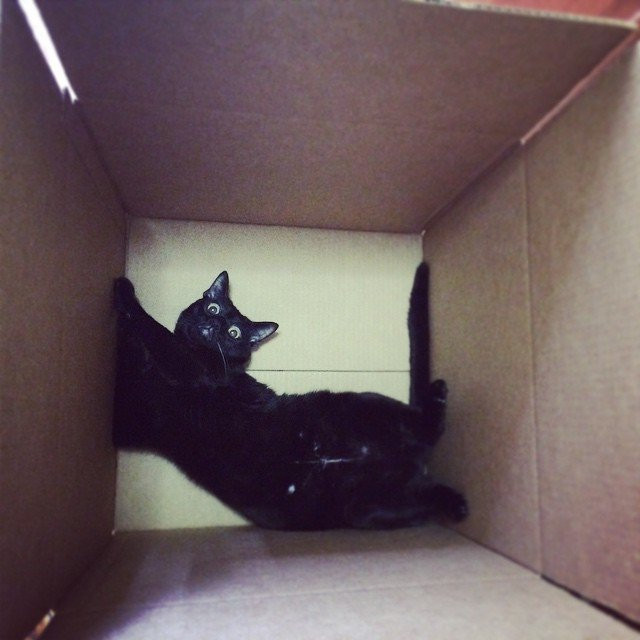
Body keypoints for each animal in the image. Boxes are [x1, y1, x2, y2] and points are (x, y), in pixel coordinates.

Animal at [112, 266, 468, 530]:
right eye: (213, 308)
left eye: (234, 333)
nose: (214, 324)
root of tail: (410, 459)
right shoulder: (134, 420)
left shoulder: (191, 369)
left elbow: (154, 331)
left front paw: (124, 290)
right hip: (369, 508)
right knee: (422, 497)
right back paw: (457, 504)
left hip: (363, 404)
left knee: (428, 428)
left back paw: (439, 395)